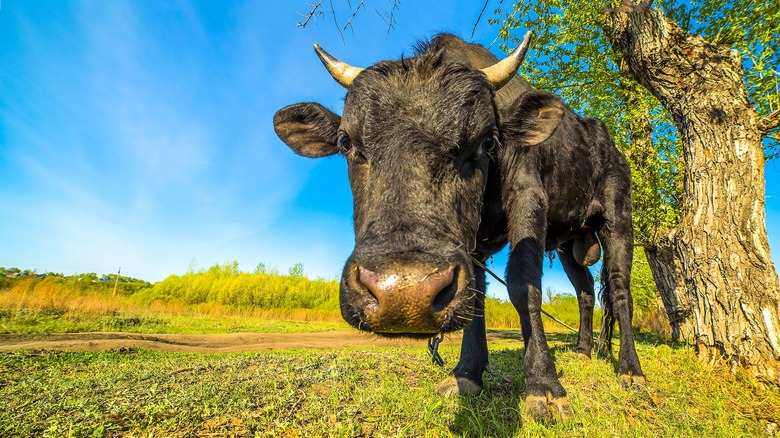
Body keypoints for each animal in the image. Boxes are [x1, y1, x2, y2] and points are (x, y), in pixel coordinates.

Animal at [274, 32, 644, 422]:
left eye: (487, 140)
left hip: (618, 217)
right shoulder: (473, 247)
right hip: (568, 241)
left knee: (620, 290)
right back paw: (584, 350)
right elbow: (476, 297)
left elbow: (524, 285)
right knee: (586, 291)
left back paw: (629, 369)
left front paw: (543, 385)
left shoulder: (529, 200)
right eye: (346, 141)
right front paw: (466, 373)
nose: (404, 294)